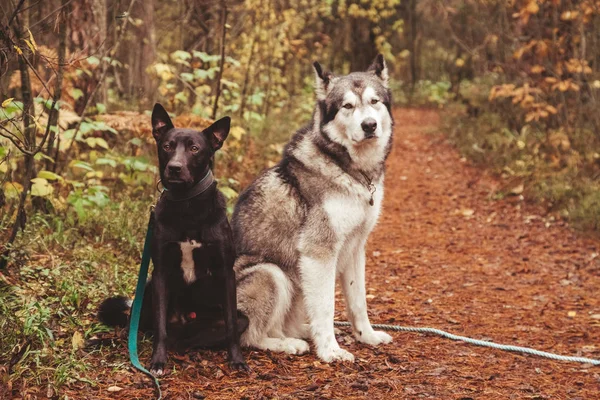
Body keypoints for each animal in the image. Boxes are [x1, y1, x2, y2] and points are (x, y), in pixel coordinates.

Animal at [98, 104, 246, 376]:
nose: (175, 167)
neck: (187, 206)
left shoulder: (226, 272)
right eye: (167, 146)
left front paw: (237, 359)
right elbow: (160, 329)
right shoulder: (160, 273)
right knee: (138, 323)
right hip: (146, 291)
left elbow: (231, 325)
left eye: (194, 148)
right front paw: (157, 361)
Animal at [231, 54, 394, 362]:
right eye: (347, 106)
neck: (351, 170)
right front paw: (330, 351)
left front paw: (366, 336)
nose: (369, 125)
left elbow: (358, 301)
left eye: (374, 101)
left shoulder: (355, 248)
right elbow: (327, 307)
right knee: (249, 337)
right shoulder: (318, 253)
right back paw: (286, 344)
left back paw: (302, 333)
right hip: (270, 273)